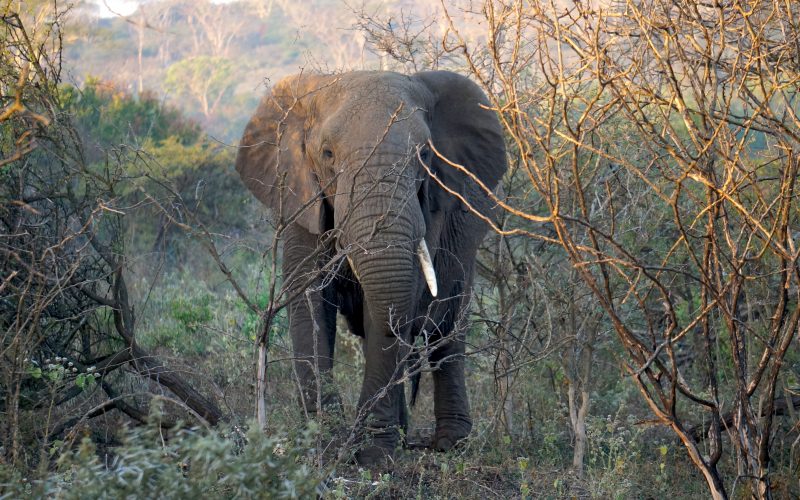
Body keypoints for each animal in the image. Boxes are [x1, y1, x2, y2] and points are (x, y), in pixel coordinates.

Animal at [234, 70, 506, 464]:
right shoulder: (301, 198)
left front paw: (373, 456)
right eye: (327, 154)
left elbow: (396, 305)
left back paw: (450, 445)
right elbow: (310, 304)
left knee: (447, 328)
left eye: (425, 154)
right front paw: (326, 443)